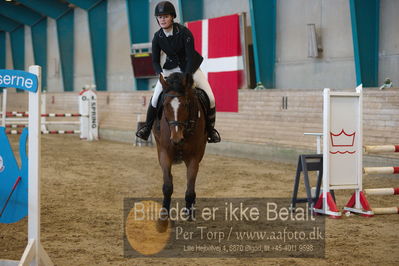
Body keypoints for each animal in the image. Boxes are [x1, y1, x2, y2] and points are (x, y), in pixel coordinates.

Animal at [153, 72, 208, 222]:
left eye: (185, 104)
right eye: (165, 105)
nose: (176, 139)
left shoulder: (194, 157)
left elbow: (190, 186)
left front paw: (189, 211)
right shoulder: (164, 153)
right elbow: (167, 186)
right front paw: (164, 213)